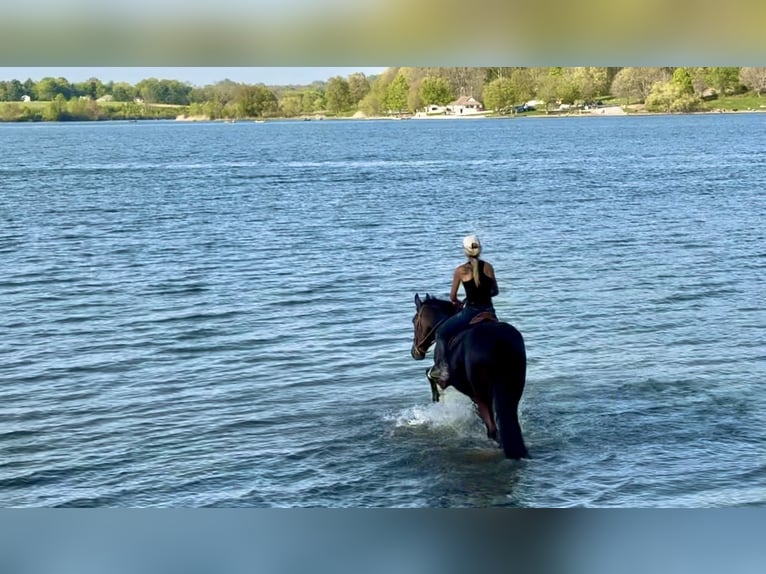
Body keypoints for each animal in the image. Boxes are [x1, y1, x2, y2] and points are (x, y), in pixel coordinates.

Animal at [410, 293, 528, 459]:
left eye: (414, 321)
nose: (415, 352)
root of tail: (500, 343)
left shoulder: (443, 378)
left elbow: (429, 374)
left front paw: (436, 398)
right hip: (510, 391)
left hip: (481, 395)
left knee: (493, 430)